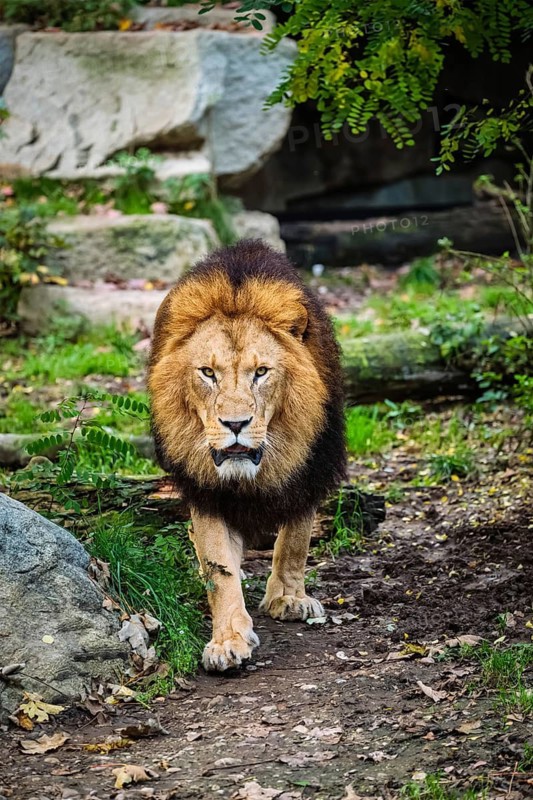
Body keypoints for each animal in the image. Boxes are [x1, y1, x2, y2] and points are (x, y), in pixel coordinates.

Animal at [148, 240, 346, 671]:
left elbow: (295, 541)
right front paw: (228, 640)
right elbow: (219, 566)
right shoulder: (206, 490)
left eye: (261, 372)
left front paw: (288, 598)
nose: (235, 424)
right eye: (207, 373)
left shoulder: (309, 471)